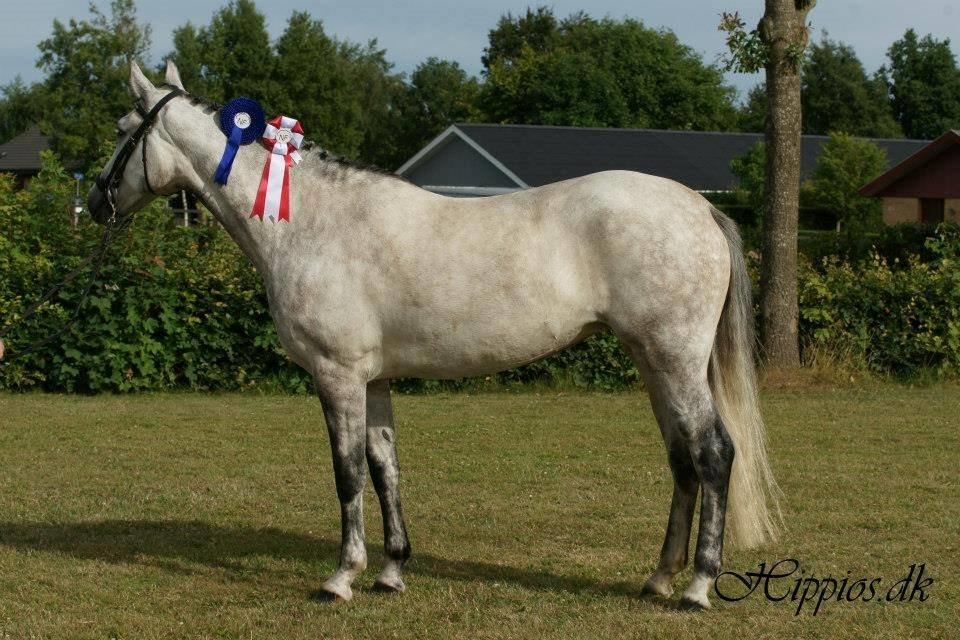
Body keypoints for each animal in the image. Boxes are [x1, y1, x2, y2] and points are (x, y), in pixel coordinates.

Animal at [87, 61, 780, 610]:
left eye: (122, 131)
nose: (94, 204)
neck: (315, 225)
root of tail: (699, 206)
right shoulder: (374, 379)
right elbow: (385, 467)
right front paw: (391, 571)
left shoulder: (337, 375)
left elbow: (346, 473)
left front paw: (341, 578)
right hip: (654, 362)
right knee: (682, 459)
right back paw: (659, 578)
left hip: (675, 359)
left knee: (714, 453)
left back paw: (698, 588)